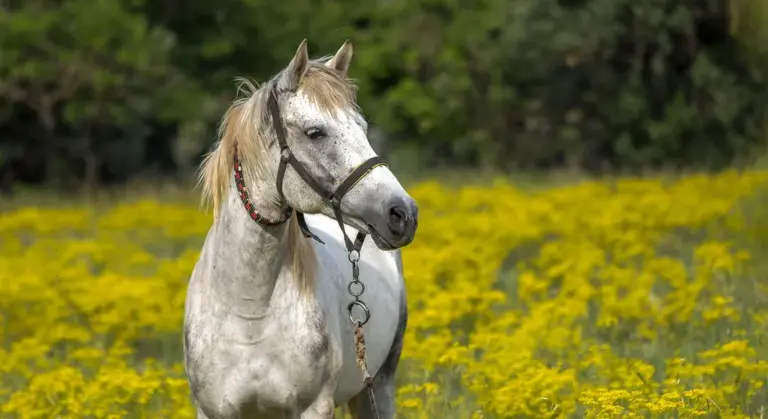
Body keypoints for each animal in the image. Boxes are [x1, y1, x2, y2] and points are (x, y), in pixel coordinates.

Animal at [183, 39, 419, 419]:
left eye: (363, 128)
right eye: (315, 132)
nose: (403, 213)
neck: (250, 313)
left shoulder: (313, 407)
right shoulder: (214, 411)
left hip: (380, 384)